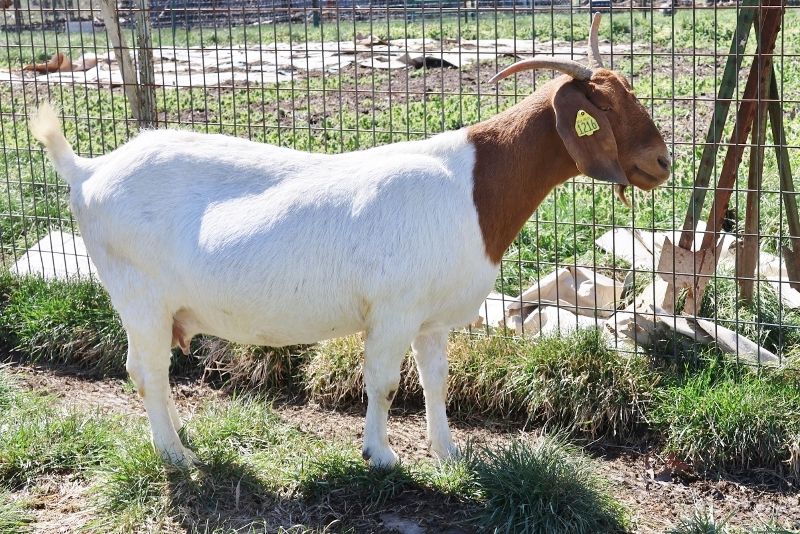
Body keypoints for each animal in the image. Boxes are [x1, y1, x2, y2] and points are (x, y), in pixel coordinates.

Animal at [30, 14, 669, 468]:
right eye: (603, 107)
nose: (663, 162)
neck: (473, 186)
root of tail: (87, 170)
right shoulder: (393, 311)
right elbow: (383, 383)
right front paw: (381, 456)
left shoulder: (431, 318)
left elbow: (435, 382)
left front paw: (448, 452)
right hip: (139, 296)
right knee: (147, 369)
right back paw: (176, 455)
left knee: (152, 372)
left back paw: (179, 440)